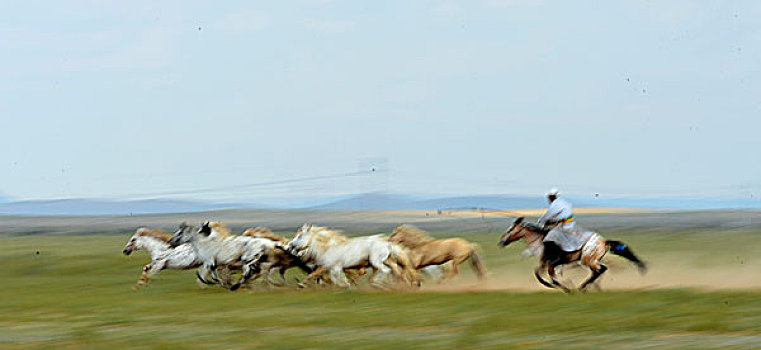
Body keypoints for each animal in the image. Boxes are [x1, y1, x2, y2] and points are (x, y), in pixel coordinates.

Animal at [284, 224, 418, 288]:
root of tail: (387, 243)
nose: (289, 247)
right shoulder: (326, 267)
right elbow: (314, 275)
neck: (329, 247)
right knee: (395, 271)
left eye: (299, 236)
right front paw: (301, 285)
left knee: (386, 270)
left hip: (376, 262)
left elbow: (338, 280)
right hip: (387, 260)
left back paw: (379, 284)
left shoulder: (335, 268)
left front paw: (347, 286)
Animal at [498, 217, 648, 292]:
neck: (541, 241)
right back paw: (588, 287)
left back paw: (583, 287)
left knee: (600, 270)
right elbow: (538, 274)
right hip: (592, 260)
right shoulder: (545, 263)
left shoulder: (552, 263)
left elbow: (550, 276)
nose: (501, 242)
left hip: (588, 260)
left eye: (510, 229)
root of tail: (604, 241)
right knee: (600, 270)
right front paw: (558, 286)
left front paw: (566, 287)